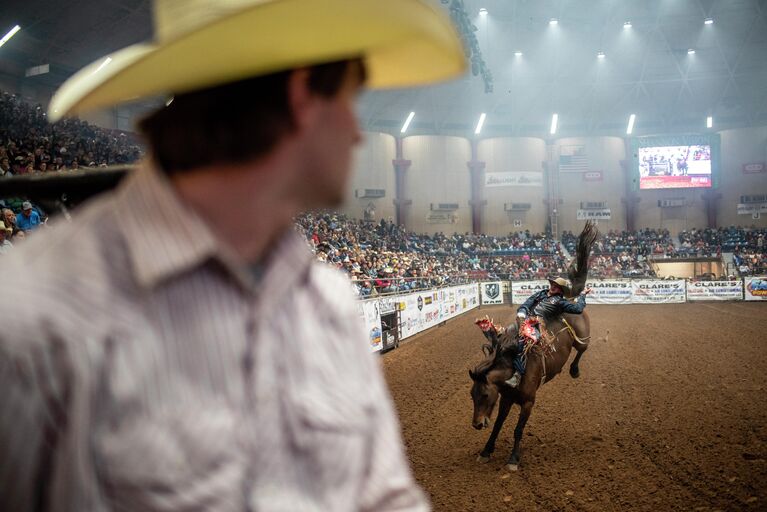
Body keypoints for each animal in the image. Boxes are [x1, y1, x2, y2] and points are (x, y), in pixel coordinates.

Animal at [468, 222, 600, 470]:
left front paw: (513, 459)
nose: (477, 425)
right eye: (472, 395)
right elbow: (499, 425)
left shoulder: (528, 402)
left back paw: (574, 370)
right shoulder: (506, 399)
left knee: (581, 351)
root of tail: (572, 298)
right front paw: (486, 451)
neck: (513, 369)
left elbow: (518, 430)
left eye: (485, 395)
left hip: (584, 338)